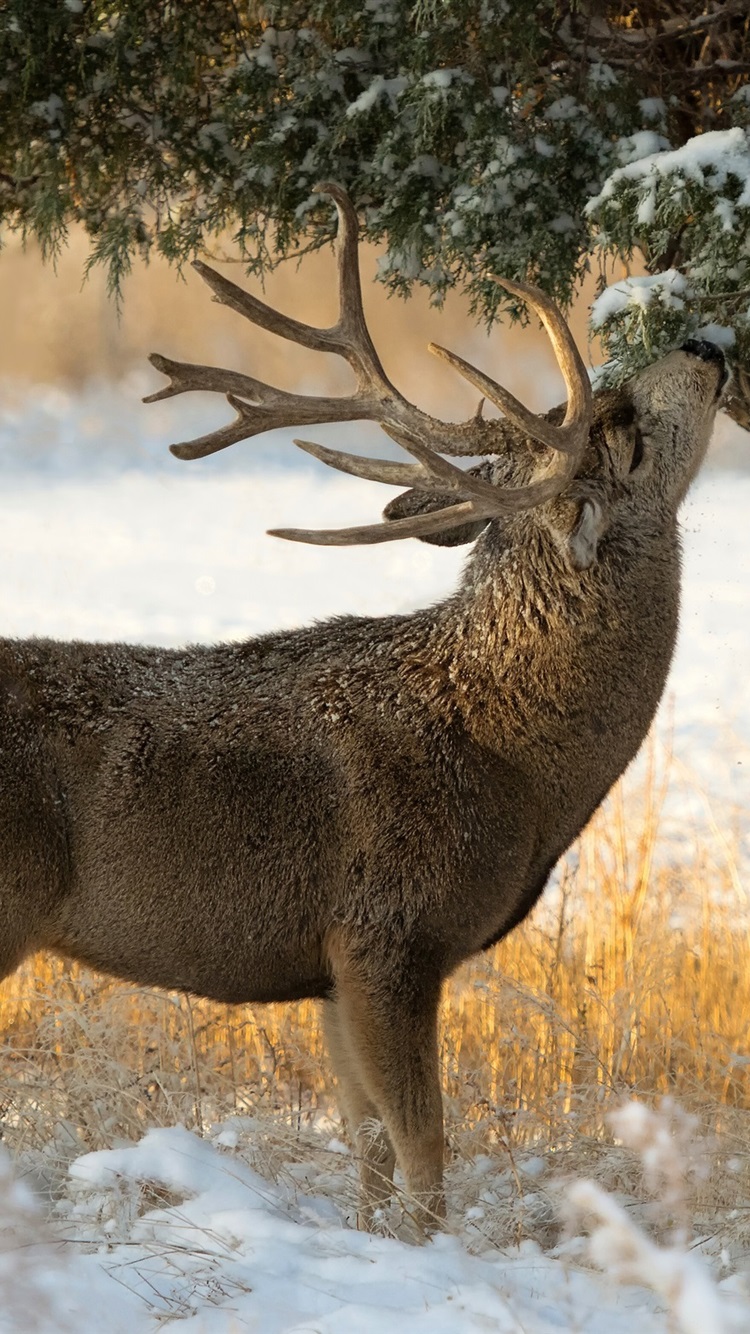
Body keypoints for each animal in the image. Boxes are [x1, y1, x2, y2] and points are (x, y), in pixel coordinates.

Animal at [0, 184, 727, 1236]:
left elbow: (371, 1148)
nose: (708, 344)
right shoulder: (389, 929)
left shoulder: (331, 968)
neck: (511, 754)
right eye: (618, 425)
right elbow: (426, 1147)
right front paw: (432, 1251)